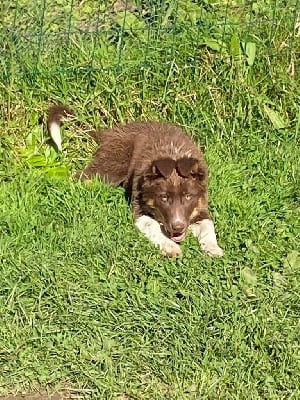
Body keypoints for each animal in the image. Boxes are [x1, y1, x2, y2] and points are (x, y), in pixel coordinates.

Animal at [48, 104, 224, 258]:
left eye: (188, 196)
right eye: (163, 197)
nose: (178, 227)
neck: (172, 154)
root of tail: (108, 132)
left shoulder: (201, 206)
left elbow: (208, 226)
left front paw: (213, 248)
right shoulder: (139, 207)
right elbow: (153, 226)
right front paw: (170, 246)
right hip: (112, 167)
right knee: (81, 177)